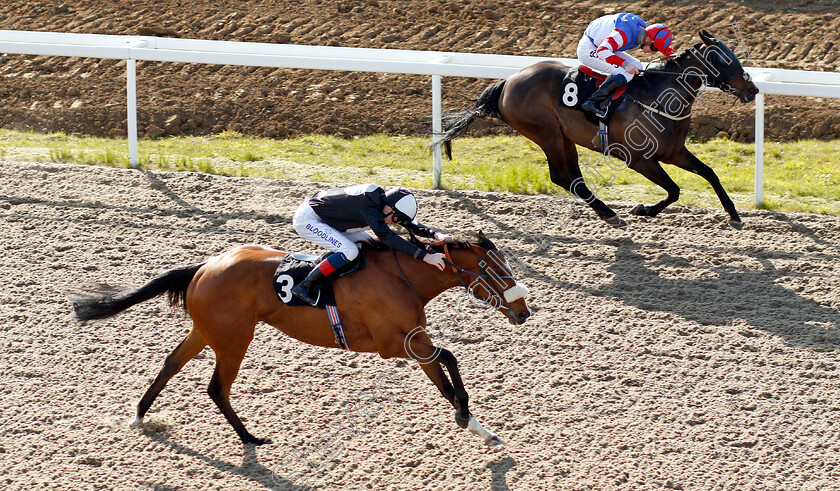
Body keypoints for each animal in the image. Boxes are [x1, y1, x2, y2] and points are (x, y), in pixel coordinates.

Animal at [72, 236, 532, 448]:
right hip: (234, 338)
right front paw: (464, 415)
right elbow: (450, 359)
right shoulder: (394, 343)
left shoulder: (414, 339)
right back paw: (250, 438)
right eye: (494, 270)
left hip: (206, 330)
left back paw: (138, 415)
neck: (403, 277)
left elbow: (442, 377)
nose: (524, 311)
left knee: (170, 363)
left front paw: (478, 426)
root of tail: (205, 265)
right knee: (217, 387)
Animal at [436, 29, 756, 230]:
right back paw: (610, 213)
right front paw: (643, 210)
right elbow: (675, 190)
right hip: (546, 133)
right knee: (561, 177)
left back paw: (606, 213)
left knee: (573, 178)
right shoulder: (639, 160)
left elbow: (709, 174)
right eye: (725, 58)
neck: (658, 96)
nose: (752, 89)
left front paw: (734, 216)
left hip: (564, 136)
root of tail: (508, 81)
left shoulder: (674, 152)